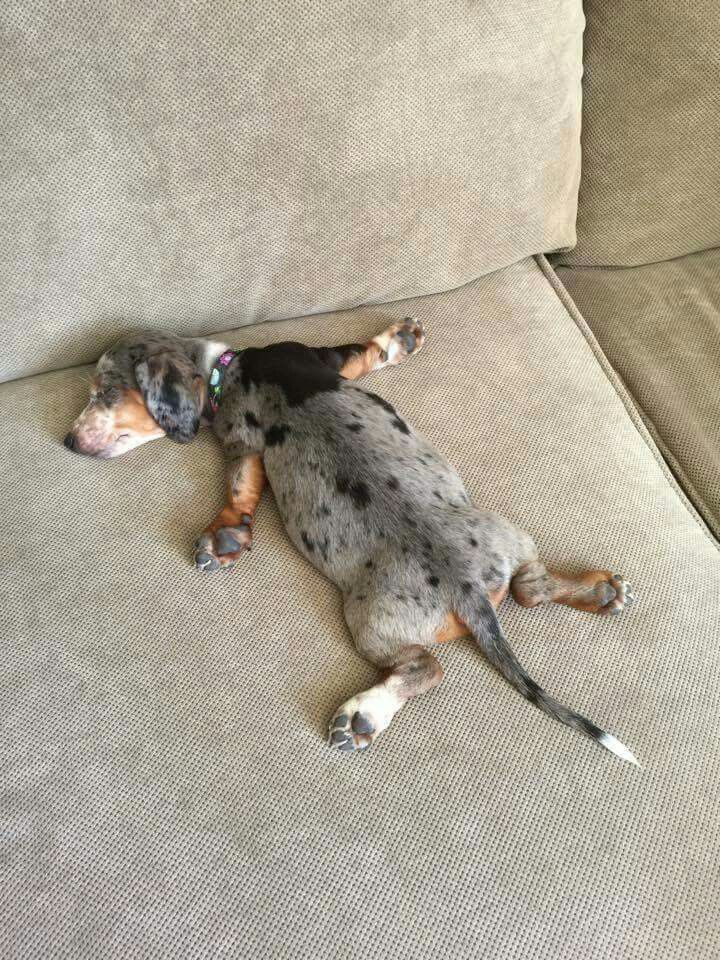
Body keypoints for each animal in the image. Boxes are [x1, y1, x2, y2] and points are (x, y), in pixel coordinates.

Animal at [64, 322, 640, 764]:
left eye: (104, 392)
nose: (68, 440)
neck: (228, 367)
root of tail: (468, 588)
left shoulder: (266, 412)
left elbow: (355, 359)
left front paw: (398, 339)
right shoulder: (249, 441)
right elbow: (242, 486)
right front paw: (227, 534)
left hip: (372, 619)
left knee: (429, 665)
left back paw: (364, 713)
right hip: (504, 539)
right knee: (528, 589)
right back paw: (599, 593)